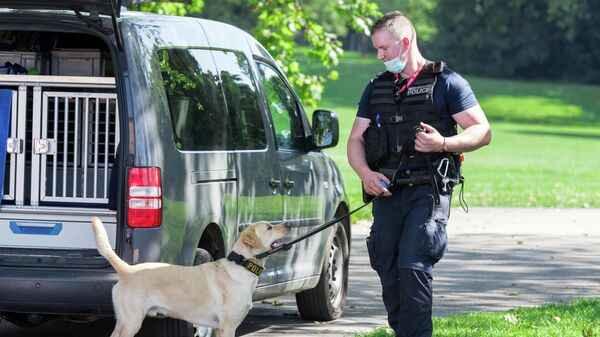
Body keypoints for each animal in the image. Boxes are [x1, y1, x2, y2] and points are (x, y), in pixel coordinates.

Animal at [90, 215, 292, 336]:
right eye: (269, 228)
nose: (289, 223)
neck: (241, 264)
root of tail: (128, 270)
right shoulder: (228, 326)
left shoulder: (218, 328)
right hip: (131, 322)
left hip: (124, 321)